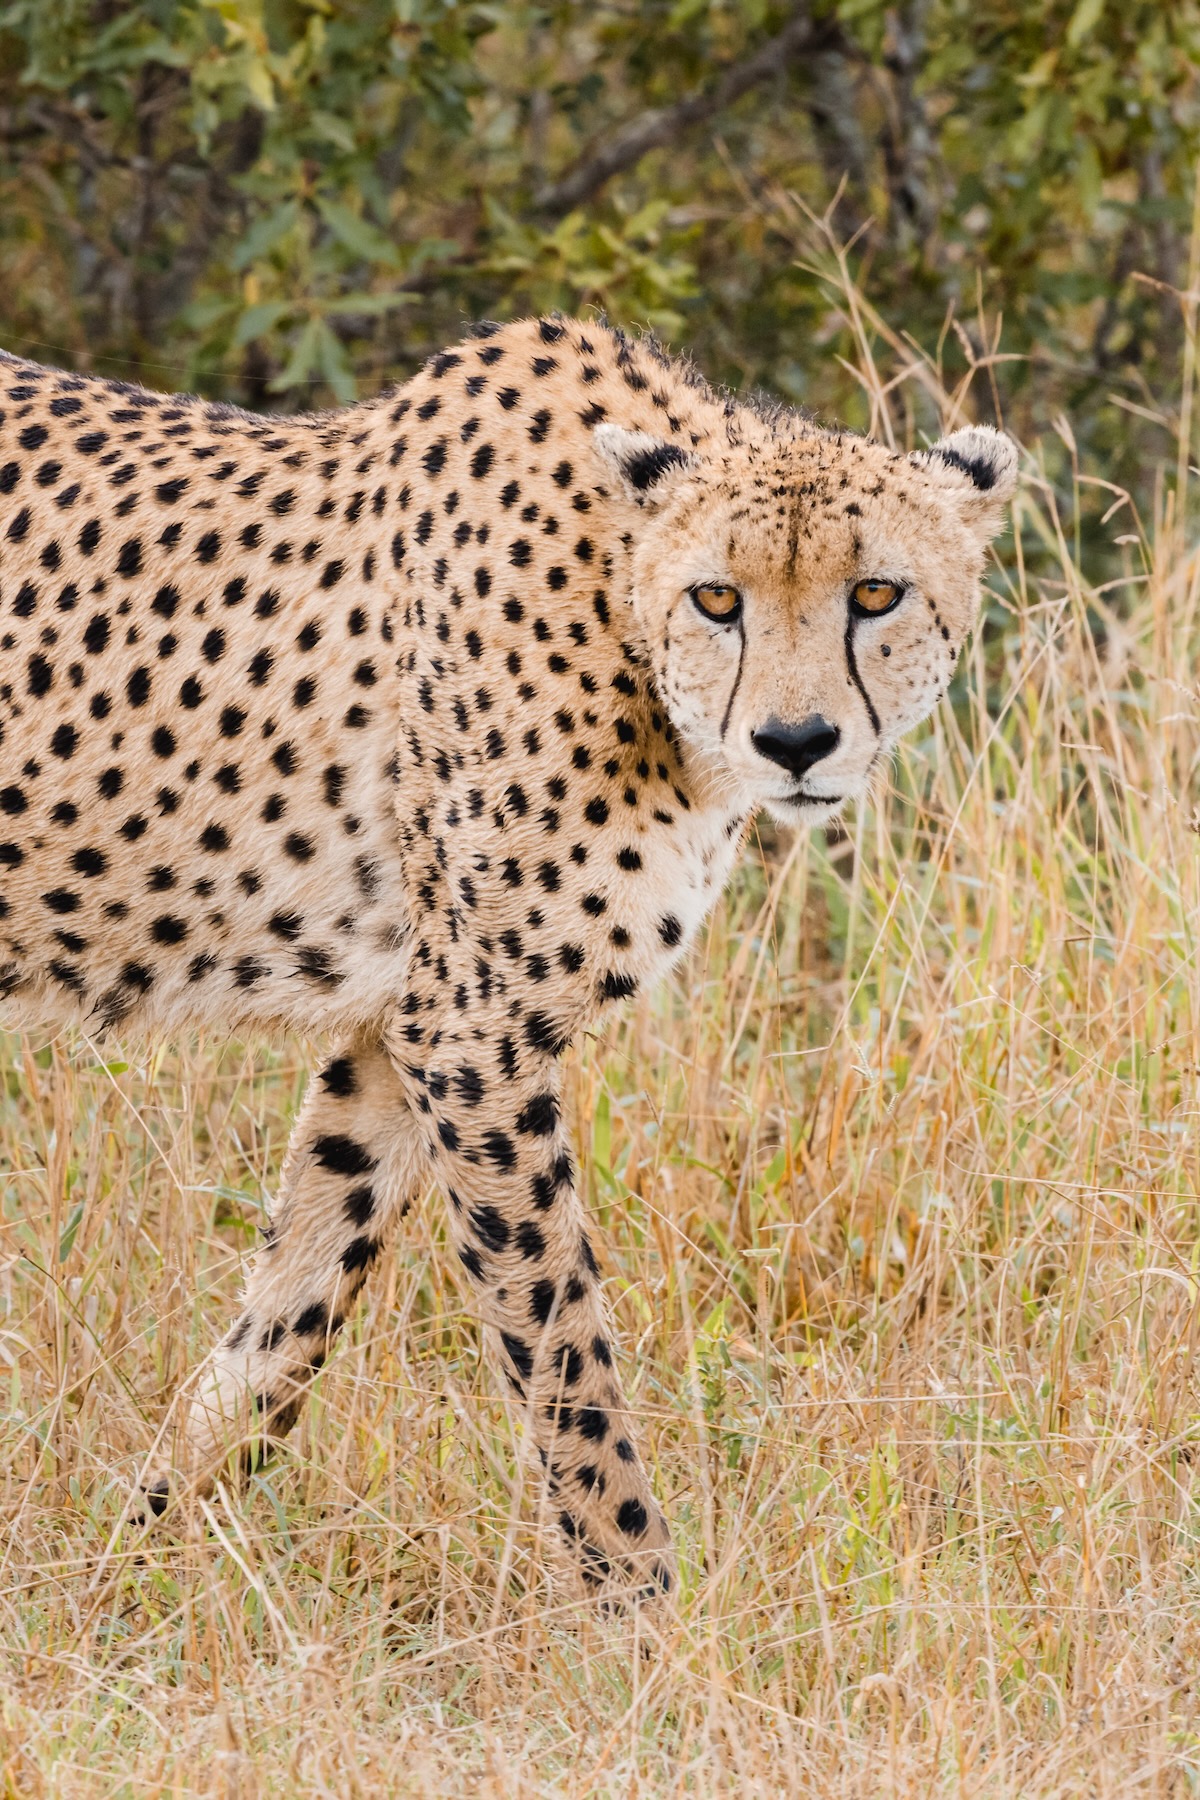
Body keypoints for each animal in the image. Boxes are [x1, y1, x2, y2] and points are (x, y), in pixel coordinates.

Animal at [0, 316, 1014, 1612]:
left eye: (876, 592)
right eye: (718, 597)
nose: (796, 742)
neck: (620, 614)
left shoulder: (398, 1038)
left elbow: (291, 1314)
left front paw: (144, 1554)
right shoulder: (475, 1033)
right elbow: (564, 1353)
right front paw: (649, 1618)